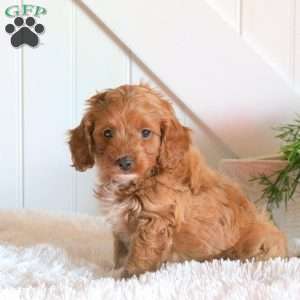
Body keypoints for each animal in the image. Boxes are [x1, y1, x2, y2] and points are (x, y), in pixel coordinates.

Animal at [68, 84, 288, 276]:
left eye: (146, 133)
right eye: (107, 133)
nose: (125, 162)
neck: (145, 177)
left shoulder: (155, 219)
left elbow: (141, 254)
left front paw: (128, 277)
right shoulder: (121, 224)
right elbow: (121, 251)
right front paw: (115, 269)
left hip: (260, 242)